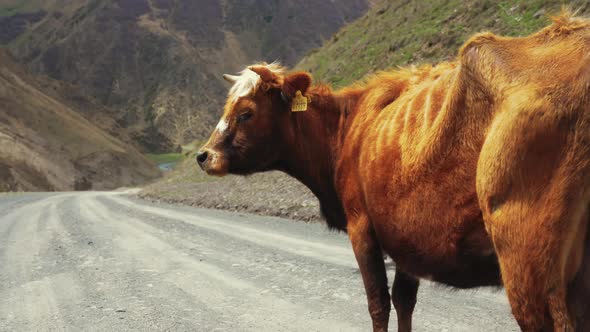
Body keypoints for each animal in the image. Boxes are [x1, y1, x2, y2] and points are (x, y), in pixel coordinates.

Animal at [198, 13, 590, 332]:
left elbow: (378, 304)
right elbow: (404, 301)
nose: (203, 155)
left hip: (528, 264)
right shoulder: (406, 237)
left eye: (246, 112)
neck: (346, 130)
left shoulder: (362, 227)